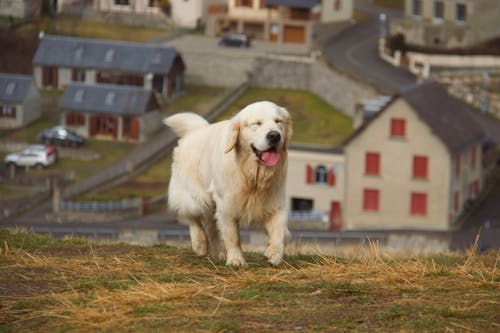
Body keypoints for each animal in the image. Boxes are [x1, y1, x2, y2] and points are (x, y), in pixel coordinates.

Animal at [164, 100, 292, 266]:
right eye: (256, 123)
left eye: (278, 121)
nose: (275, 135)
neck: (253, 175)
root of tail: (196, 130)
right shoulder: (227, 205)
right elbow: (232, 236)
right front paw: (236, 260)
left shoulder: (274, 202)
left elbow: (280, 231)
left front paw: (274, 253)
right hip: (196, 199)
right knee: (192, 218)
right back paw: (200, 244)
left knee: (210, 226)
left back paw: (218, 252)